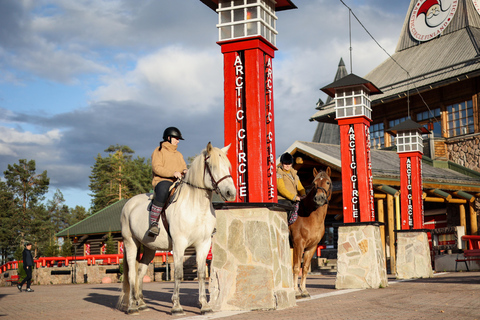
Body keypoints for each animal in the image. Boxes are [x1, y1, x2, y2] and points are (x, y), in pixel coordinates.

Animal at [117, 143, 235, 316]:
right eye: (212, 166)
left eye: (227, 166)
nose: (231, 193)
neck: (195, 206)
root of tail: (128, 204)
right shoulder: (179, 244)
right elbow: (178, 273)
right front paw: (176, 307)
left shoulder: (204, 244)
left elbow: (201, 273)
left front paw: (204, 306)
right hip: (130, 242)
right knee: (132, 272)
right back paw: (132, 306)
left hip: (150, 248)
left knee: (141, 272)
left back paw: (142, 303)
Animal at [286, 166, 332, 298]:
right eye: (314, 183)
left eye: (327, 182)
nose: (319, 198)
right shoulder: (298, 245)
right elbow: (296, 267)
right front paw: (296, 291)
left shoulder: (312, 247)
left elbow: (305, 268)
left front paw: (304, 290)